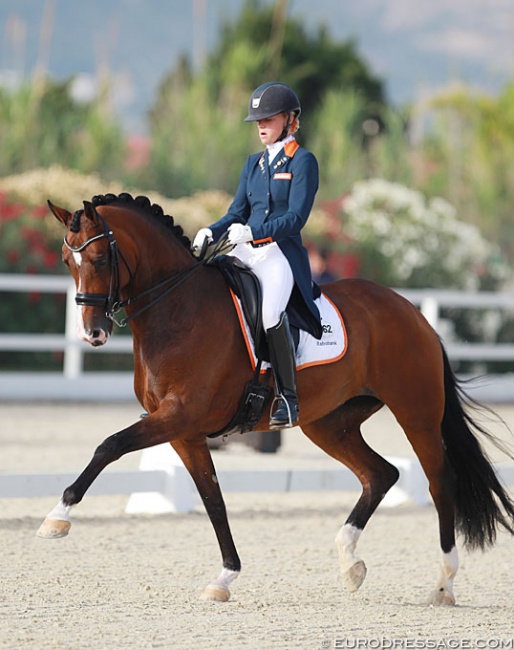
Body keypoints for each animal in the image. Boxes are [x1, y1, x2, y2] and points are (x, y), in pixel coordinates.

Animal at [39, 191, 512, 604]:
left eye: (101, 259)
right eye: (66, 260)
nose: (92, 333)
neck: (179, 309)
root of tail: (413, 312)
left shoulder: (178, 416)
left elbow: (110, 445)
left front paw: (57, 519)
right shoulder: (183, 431)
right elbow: (213, 500)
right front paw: (225, 578)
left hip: (416, 413)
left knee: (439, 482)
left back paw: (443, 585)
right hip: (328, 424)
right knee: (380, 474)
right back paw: (350, 564)